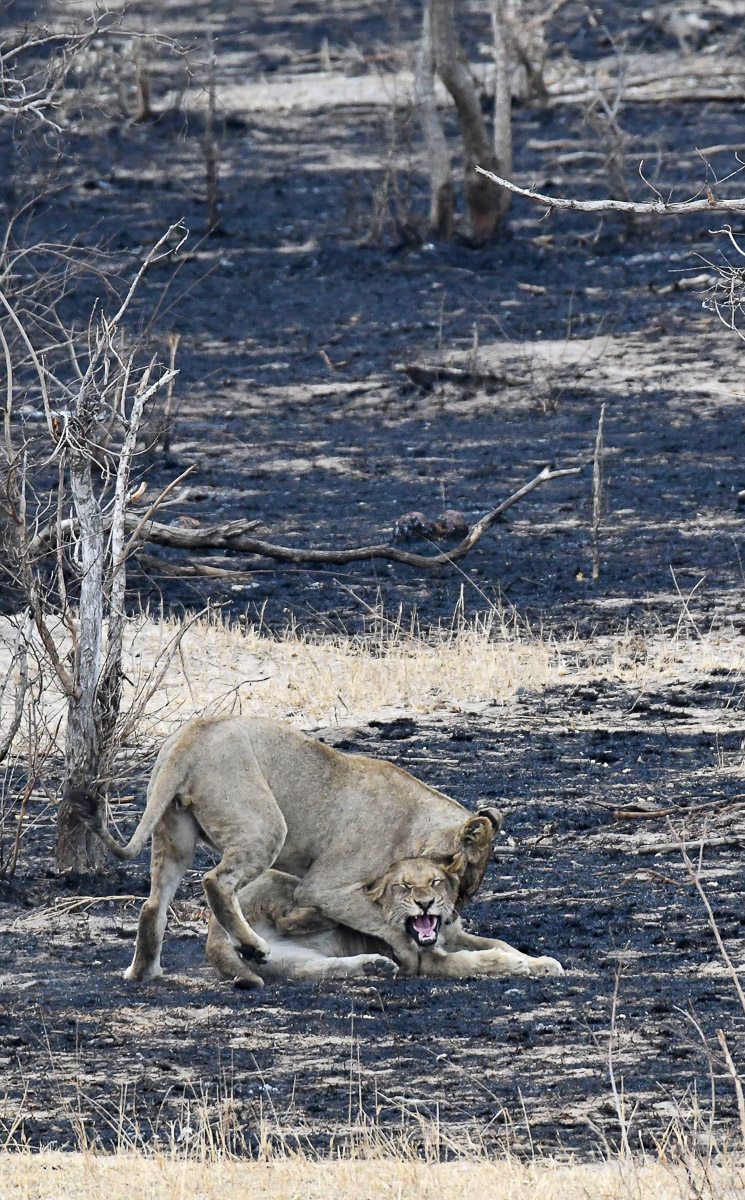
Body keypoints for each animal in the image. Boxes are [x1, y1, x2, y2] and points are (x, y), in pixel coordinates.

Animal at [206, 860, 564, 986]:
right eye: (403, 887)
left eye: (435, 882)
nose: (424, 903)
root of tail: (212, 937)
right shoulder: (425, 960)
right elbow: (468, 961)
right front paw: (513, 965)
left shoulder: (453, 935)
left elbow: (500, 943)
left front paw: (542, 962)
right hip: (282, 882)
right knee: (289, 917)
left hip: (288, 958)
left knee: (312, 970)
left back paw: (373, 967)